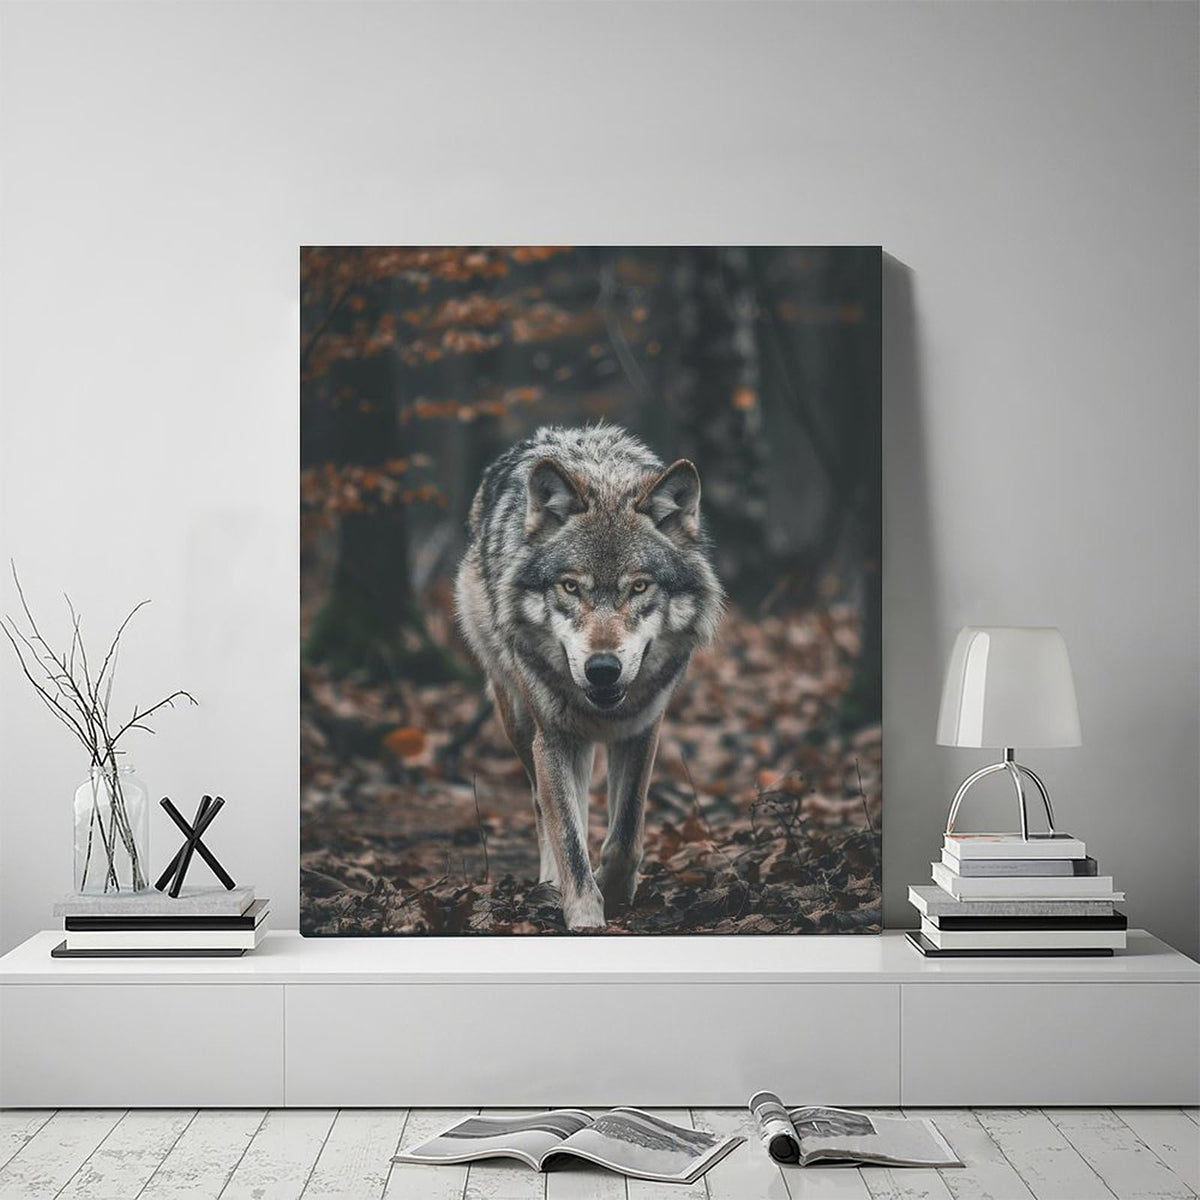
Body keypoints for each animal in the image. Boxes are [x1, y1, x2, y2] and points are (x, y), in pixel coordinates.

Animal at [455, 424, 723, 929]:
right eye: (570, 586)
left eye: (639, 586)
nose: (602, 670)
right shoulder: (554, 738)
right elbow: (568, 836)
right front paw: (584, 914)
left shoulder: (643, 730)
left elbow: (625, 835)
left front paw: (614, 893)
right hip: (519, 720)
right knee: (544, 806)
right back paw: (550, 882)